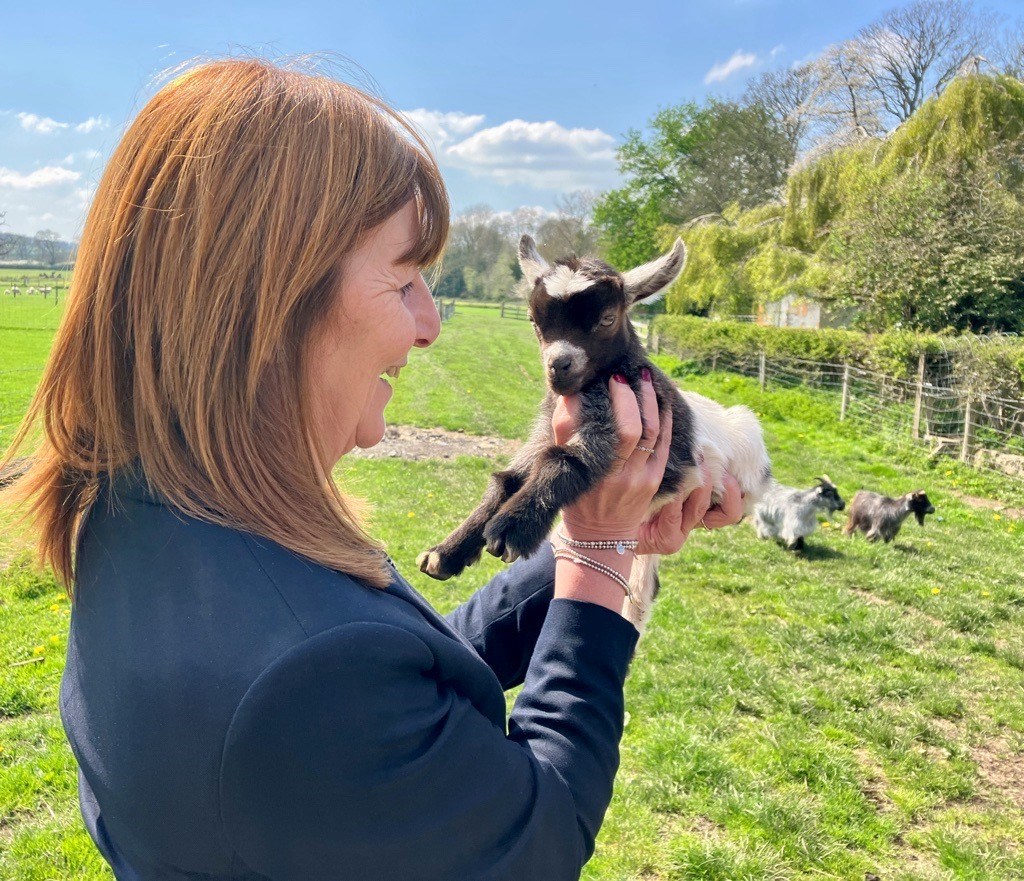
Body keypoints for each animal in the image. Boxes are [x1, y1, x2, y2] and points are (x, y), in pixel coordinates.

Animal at [415, 235, 770, 635]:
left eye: (607, 318)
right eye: (535, 321)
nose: (558, 366)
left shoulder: (615, 429)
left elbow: (566, 460)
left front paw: (513, 528)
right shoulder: (545, 429)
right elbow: (507, 480)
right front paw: (446, 553)